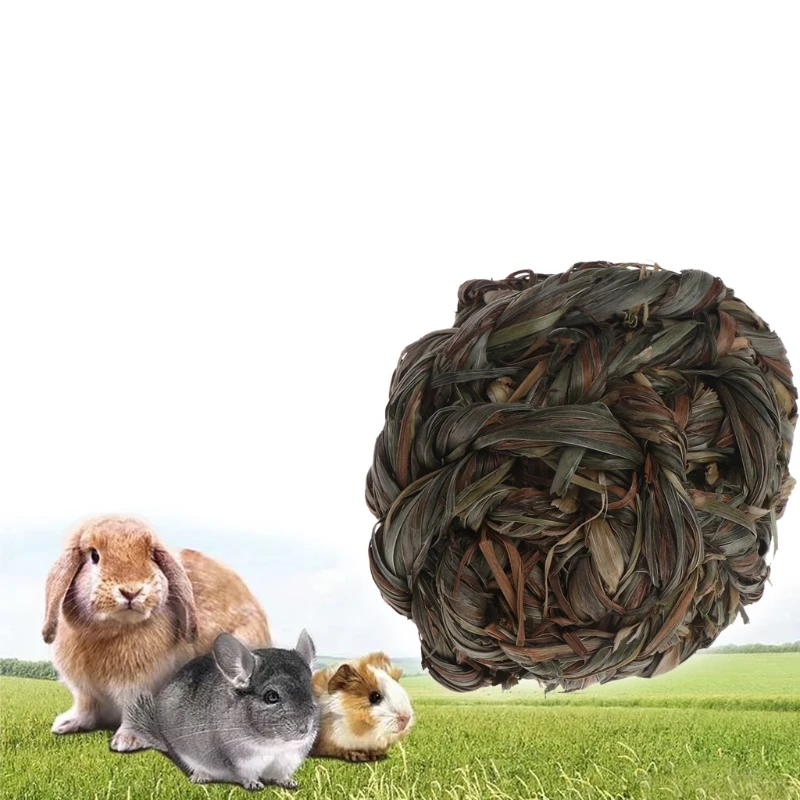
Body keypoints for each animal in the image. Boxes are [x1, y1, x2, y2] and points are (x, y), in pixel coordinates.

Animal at [42, 515, 271, 752]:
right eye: (94, 556)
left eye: (151, 555)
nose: (131, 591)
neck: (106, 632)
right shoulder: (84, 690)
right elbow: (85, 707)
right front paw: (65, 724)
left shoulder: (138, 685)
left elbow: (132, 710)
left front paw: (127, 741)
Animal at [122, 630, 319, 791]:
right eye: (271, 696)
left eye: (310, 691)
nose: (305, 729)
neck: (274, 744)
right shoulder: (240, 759)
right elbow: (245, 775)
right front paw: (254, 784)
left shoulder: (289, 759)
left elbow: (282, 775)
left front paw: (290, 782)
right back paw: (200, 776)